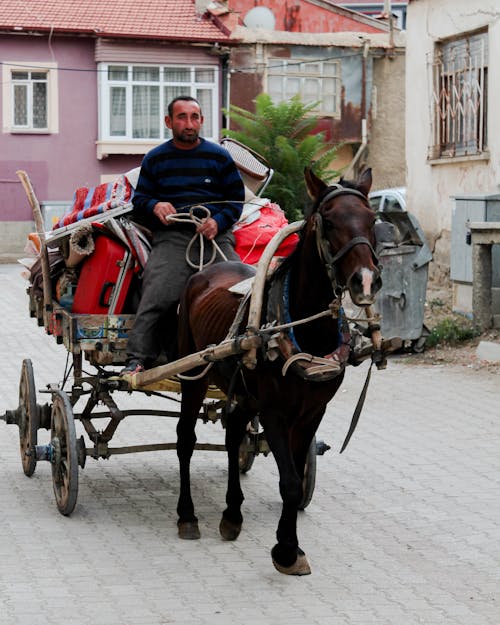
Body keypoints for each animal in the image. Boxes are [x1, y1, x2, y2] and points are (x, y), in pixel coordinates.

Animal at [174, 167, 380, 576]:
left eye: (372, 219)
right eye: (328, 221)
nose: (365, 280)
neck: (303, 327)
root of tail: (206, 269)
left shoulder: (312, 412)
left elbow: (297, 476)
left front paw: (291, 544)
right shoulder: (274, 411)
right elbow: (289, 481)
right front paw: (285, 551)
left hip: (243, 391)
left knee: (233, 435)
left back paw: (232, 514)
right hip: (196, 375)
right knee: (185, 439)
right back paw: (187, 515)